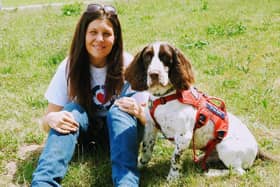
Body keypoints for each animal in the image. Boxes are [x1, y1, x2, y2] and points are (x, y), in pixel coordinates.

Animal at [124, 41, 262, 180]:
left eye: (165, 56)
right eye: (147, 56)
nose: (154, 74)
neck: (164, 97)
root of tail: (257, 149)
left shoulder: (183, 136)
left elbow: (175, 158)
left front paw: (173, 178)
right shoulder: (150, 127)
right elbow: (146, 150)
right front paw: (138, 167)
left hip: (225, 148)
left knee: (237, 171)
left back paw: (211, 172)